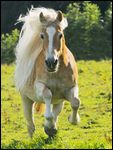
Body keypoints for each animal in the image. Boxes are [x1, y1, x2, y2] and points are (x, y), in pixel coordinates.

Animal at [15, 7, 80, 138]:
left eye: (60, 35)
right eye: (42, 36)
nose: (51, 63)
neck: (56, 72)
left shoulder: (71, 88)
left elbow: (76, 102)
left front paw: (73, 120)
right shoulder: (39, 87)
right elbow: (47, 96)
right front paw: (48, 125)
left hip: (59, 102)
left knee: (56, 111)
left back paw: (52, 129)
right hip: (26, 100)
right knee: (30, 125)